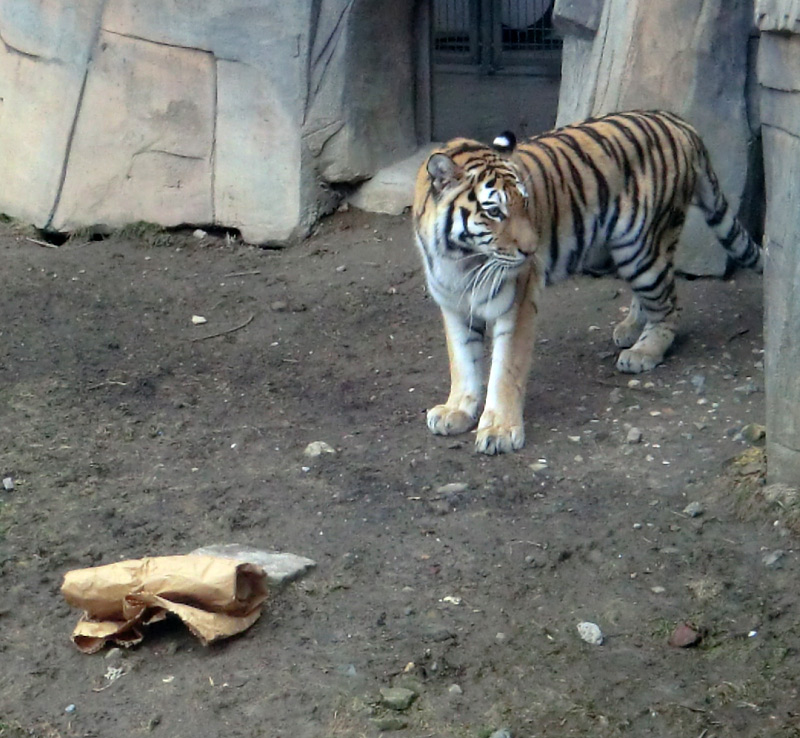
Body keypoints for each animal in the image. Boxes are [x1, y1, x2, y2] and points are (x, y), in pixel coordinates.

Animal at [412, 109, 764, 454]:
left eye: (525, 203)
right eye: (494, 211)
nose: (532, 250)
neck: (461, 260)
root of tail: (679, 122)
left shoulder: (517, 303)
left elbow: (505, 370)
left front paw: (500, 430)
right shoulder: (454, 305)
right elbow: (463, 363)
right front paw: (456, 411)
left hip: (641, 248)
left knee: (669, 306)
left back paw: (643, 352)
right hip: (632, 251)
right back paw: (630, 330)